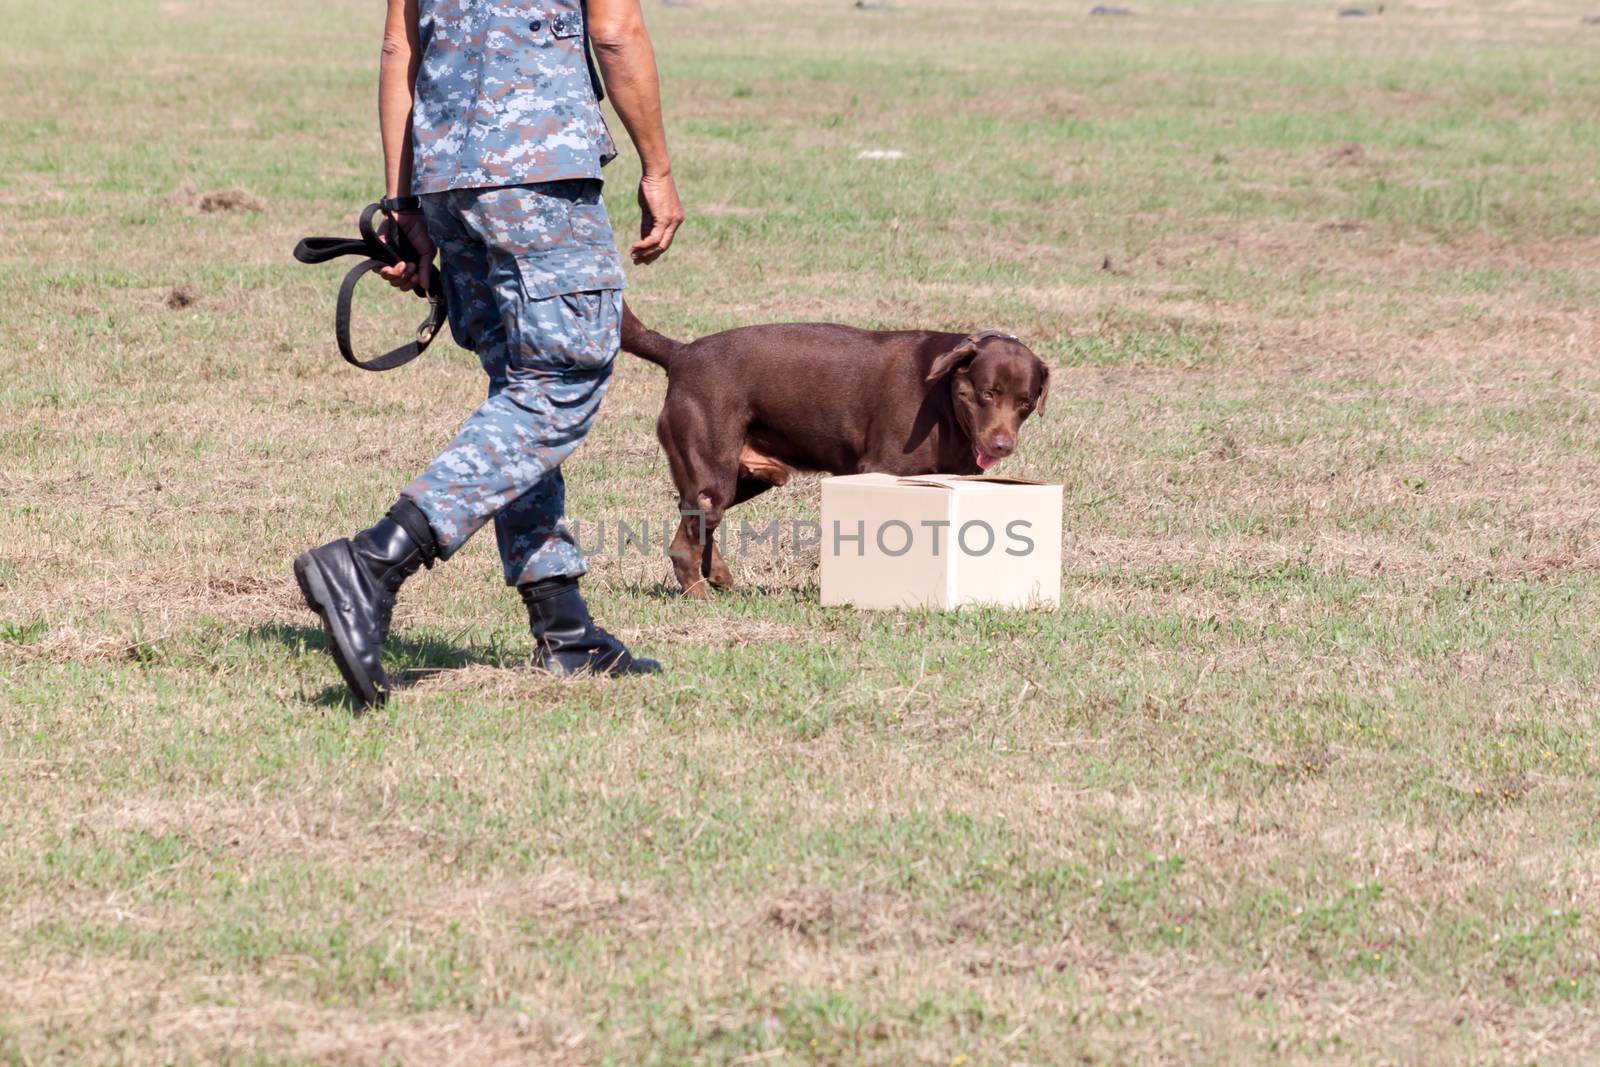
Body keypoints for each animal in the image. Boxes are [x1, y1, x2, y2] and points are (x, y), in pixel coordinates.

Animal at [620, 303, 1049, 598]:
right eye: (987, 393)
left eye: (1026, 402)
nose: (1002, 444)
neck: (942, 396)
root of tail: (680, 354)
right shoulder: (881, 468)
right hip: (712, 467)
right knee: (685, 541)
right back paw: (700, 596)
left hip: (746, 476)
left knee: (694, 521)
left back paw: (721, 578)